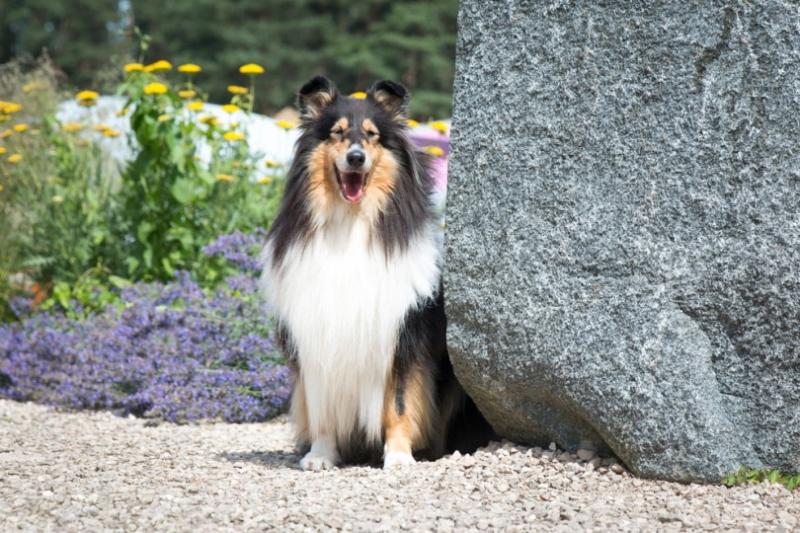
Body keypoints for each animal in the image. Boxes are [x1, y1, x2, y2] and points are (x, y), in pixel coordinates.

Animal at [262, 76, 490, 470]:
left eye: (371, 135)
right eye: (337, 133)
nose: (356, 157)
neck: (350, 223)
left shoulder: (402, 335)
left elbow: (399, 403)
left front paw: (398, 457)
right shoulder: (315, 334)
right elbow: (321, 407)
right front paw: (320, 454)